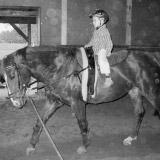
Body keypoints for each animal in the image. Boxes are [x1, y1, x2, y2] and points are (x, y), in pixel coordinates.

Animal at [0, 45, 160, 156]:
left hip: (151, 91)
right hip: (135, 91)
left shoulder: (77, 103)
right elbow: (39, 123)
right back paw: (131, 138)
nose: (15, 102)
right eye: (4, 78)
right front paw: (31, 146)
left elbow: (82, 124)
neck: (61, 69)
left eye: (13, 75)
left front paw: (84, 146)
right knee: (140, 113)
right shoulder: (53, 102)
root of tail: (152, 57)